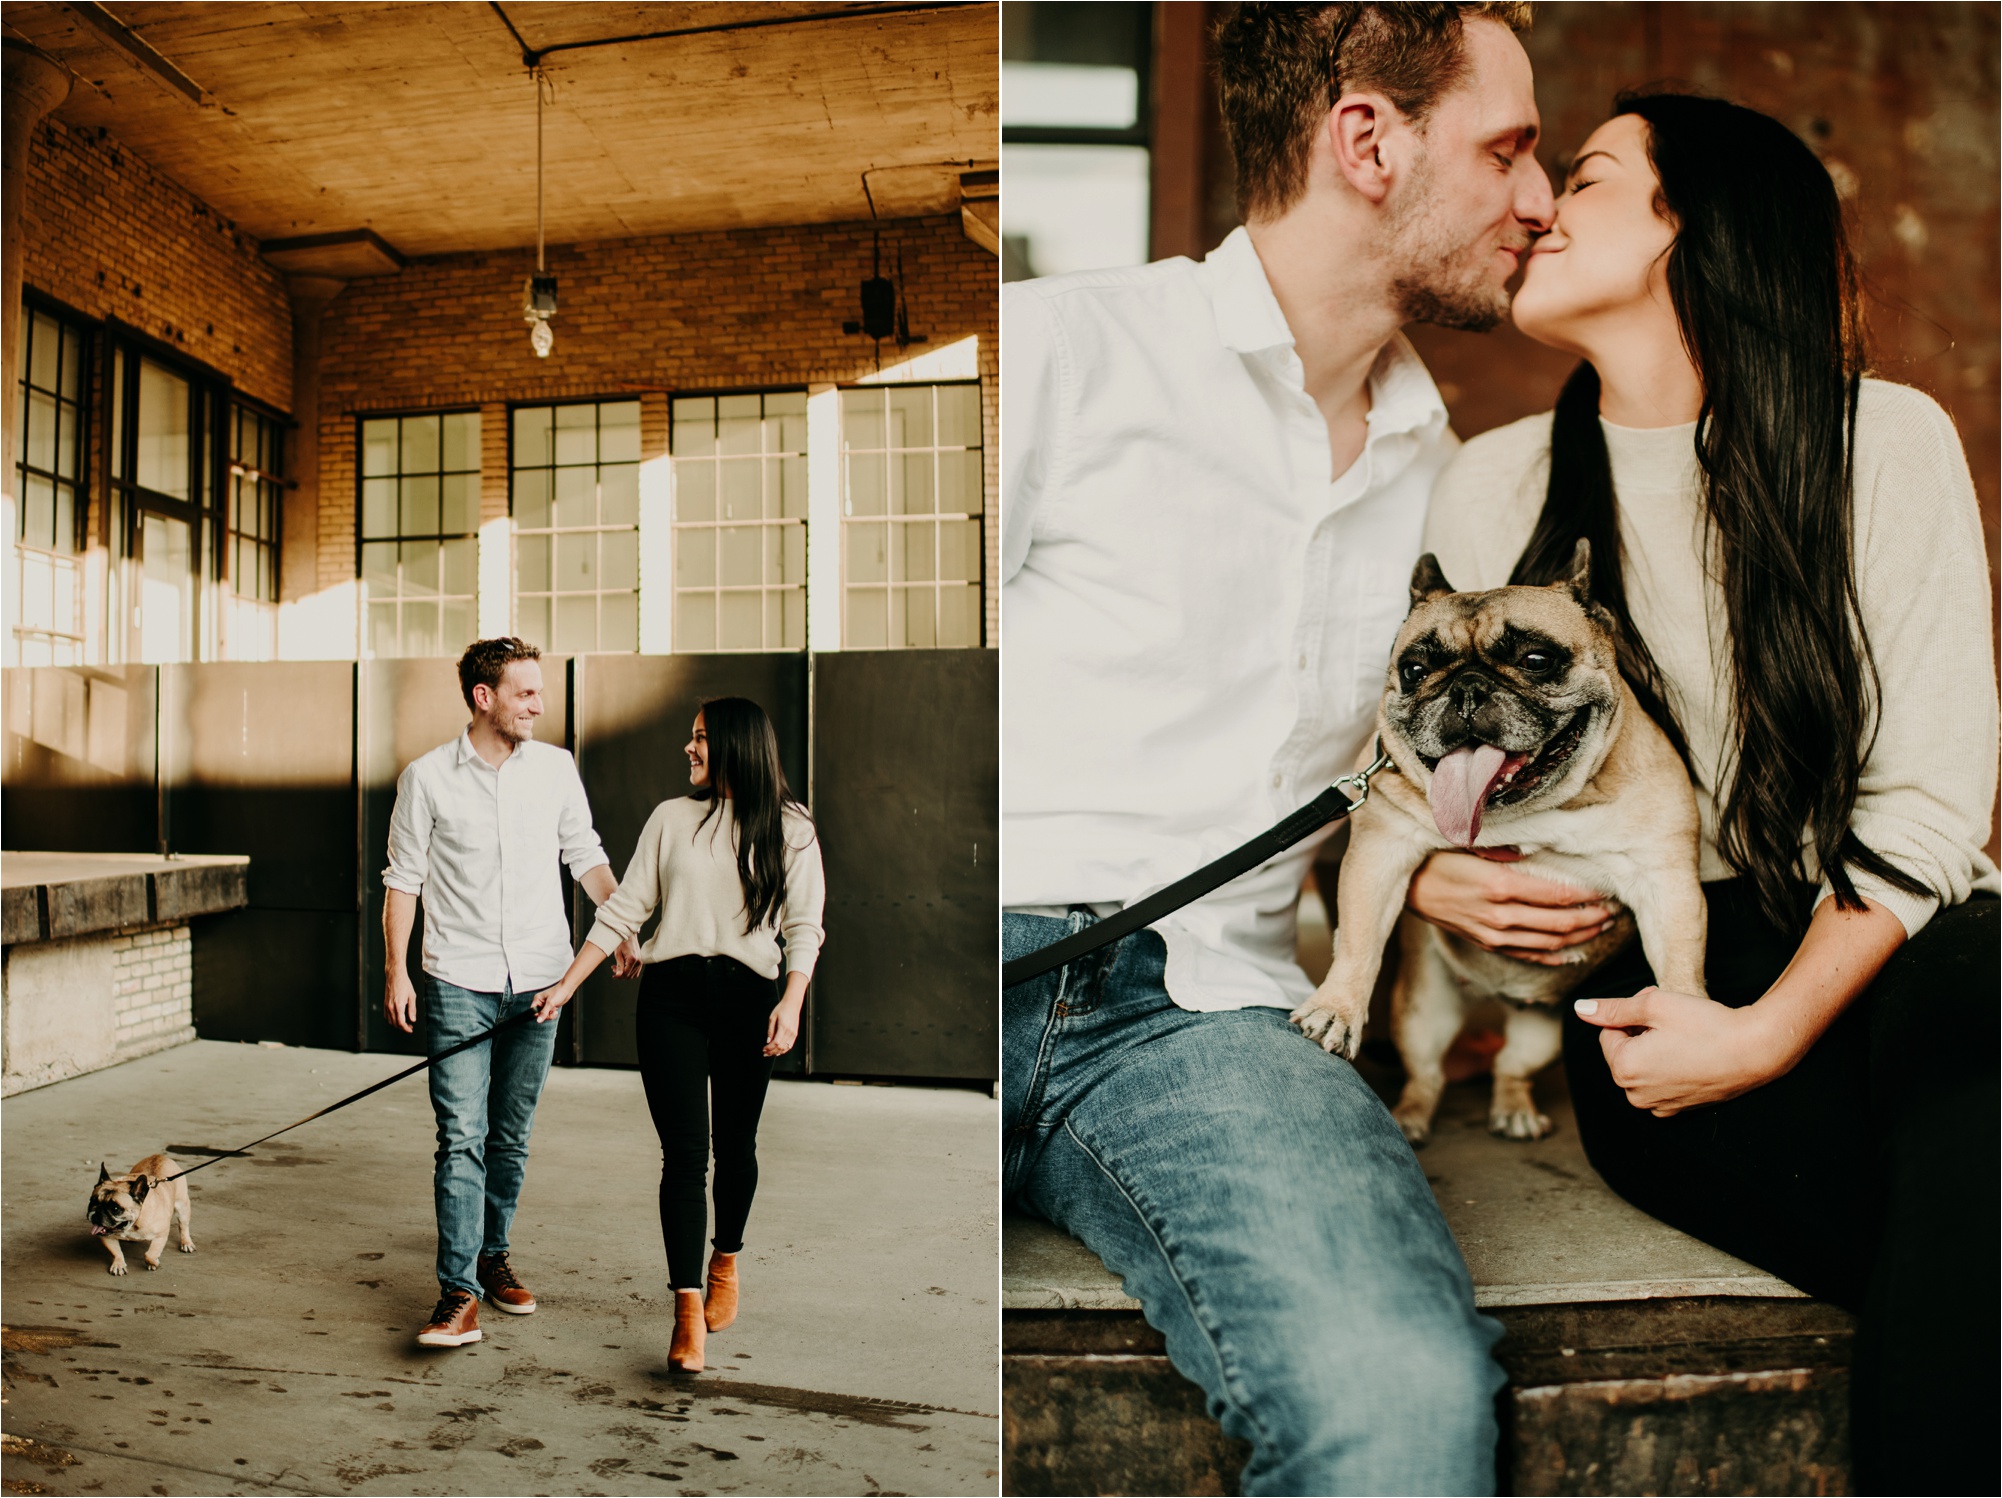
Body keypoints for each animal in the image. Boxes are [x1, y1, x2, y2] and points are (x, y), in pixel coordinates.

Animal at [1297, 544, 1705, 1137]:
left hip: (1543, 1031)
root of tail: (1496, 997)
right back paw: (1410, 1118)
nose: (1465, 687)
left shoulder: (1666, 883)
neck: (1532, 811)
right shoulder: (1380, 851)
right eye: (1414, 670)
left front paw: (1682, 1029)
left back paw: (1515, 1110)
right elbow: (1357, 939)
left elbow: (1681, 963)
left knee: (1510, 1067)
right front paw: (1337, 1009)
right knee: (1427, 1074)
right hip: (1423, 1013)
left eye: (1536, 660)